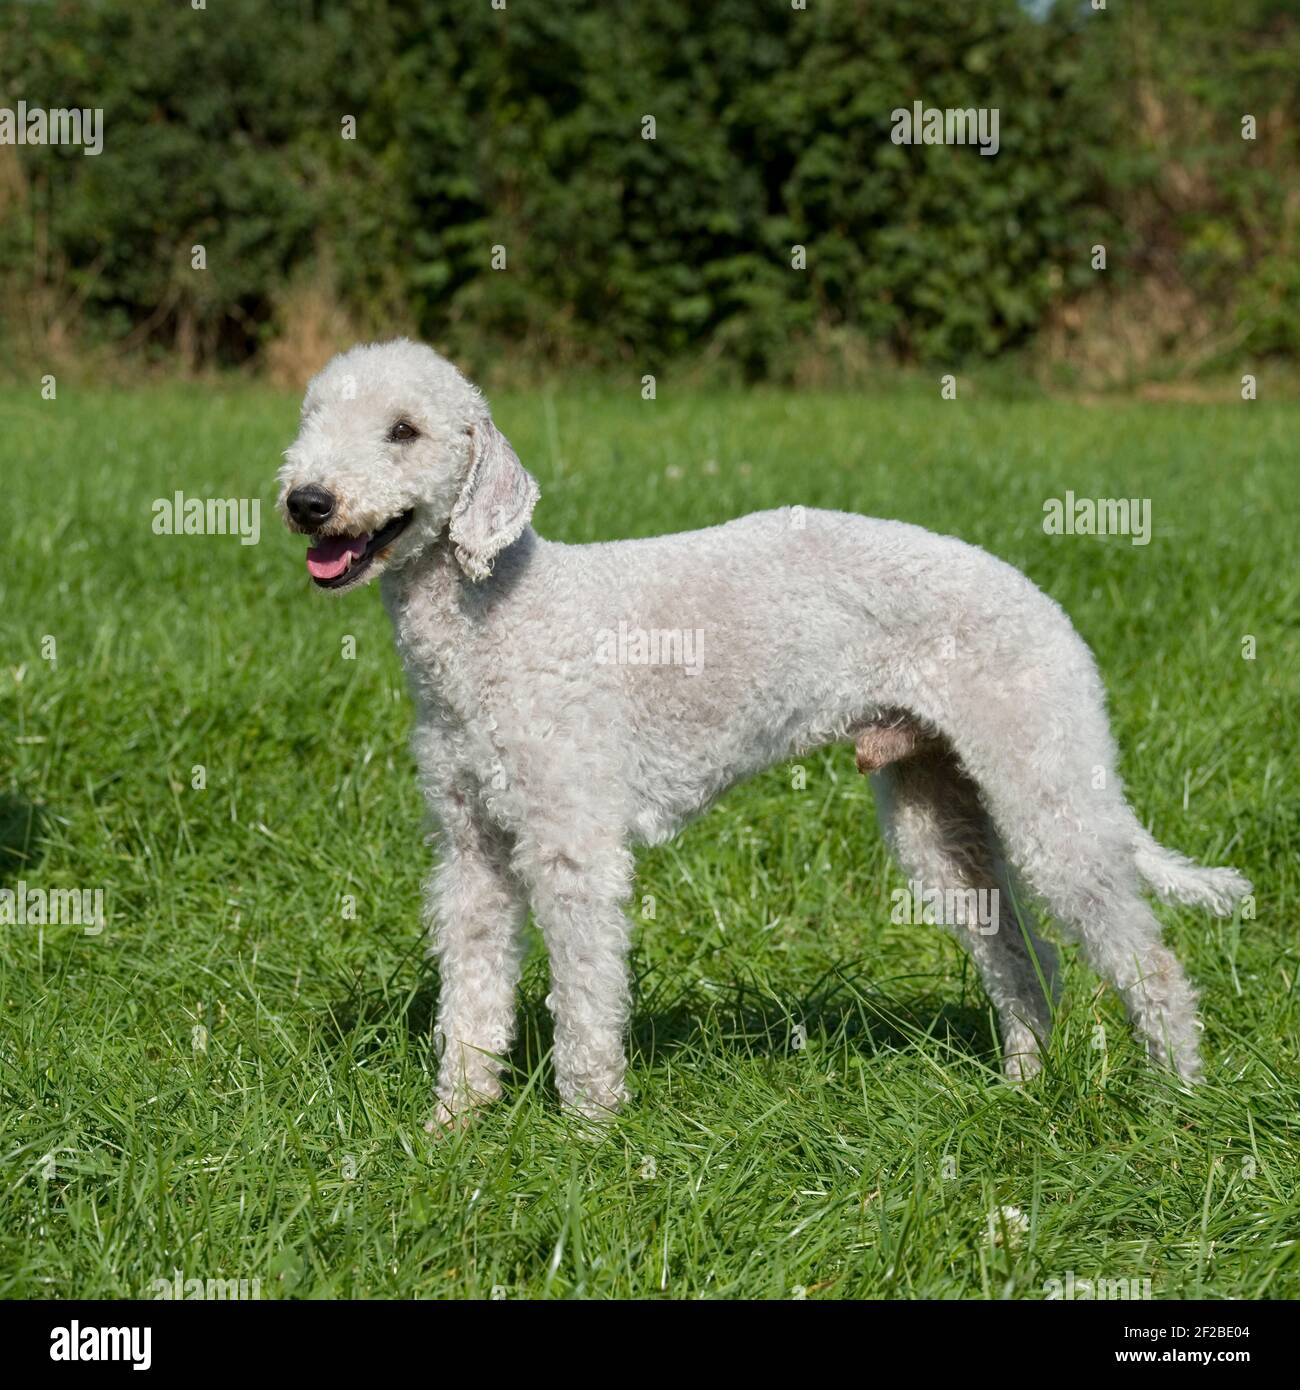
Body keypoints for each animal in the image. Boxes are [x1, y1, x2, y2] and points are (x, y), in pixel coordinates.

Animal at [279, 341, 1256, 1123]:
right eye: (311, 419)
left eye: (404, 430)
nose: (307, 500)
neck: (495, 619)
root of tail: (1048, 606)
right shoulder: (471, 851)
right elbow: (471, 997)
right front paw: (455, 1128)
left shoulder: (571, 846)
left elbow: (585, 1000)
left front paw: (589, 1132)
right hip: (938, 810)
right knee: (1029, 959)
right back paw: (1023, 1087)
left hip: (1048, 782)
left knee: (1151, 965)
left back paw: (1177, 1104)